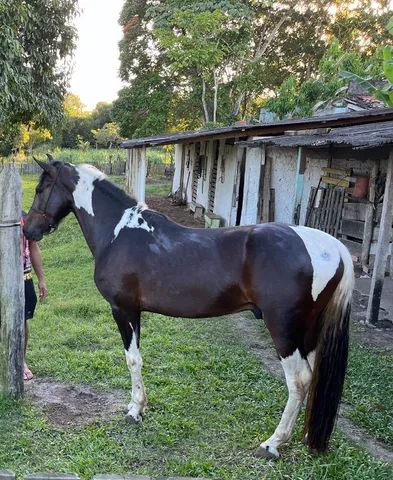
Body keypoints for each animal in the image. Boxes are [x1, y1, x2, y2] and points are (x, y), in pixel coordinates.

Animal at [24, 157, 356, 458]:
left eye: (41, 188)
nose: (28, 231)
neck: (120, 231)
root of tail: (332, 246)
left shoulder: (123, 310)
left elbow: (132, 360)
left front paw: (134, 411)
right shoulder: (136, 313)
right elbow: (139, 359)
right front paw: (138, 406)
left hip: (284, 331)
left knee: (298, 381)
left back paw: (272, 443)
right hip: (308, 332)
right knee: (311, 378)